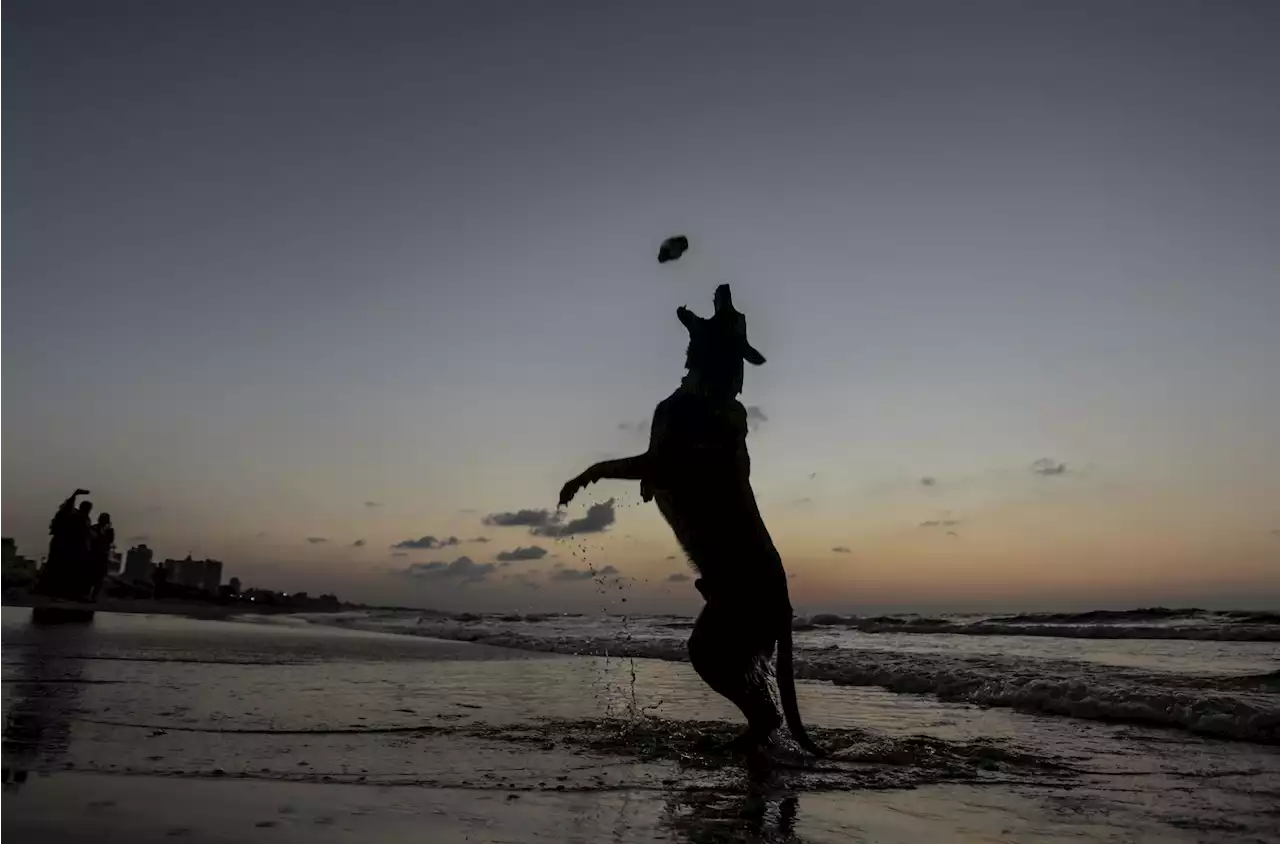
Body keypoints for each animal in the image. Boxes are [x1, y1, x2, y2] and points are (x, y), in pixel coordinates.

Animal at [558, 284, 819, 758]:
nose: (724, 286)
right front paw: (579, 485)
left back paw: (728, 747)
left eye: (733, 315)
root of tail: (785, 607)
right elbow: (613, 465)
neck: (709, 388)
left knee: (766, 714)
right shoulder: (648, 455)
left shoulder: (663, 462)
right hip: (724, 639)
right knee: (765, 712)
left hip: (716, 645)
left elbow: (627, 466)